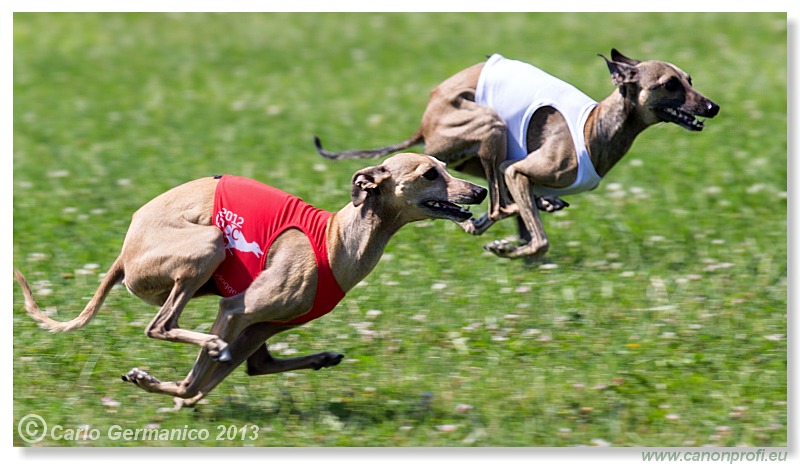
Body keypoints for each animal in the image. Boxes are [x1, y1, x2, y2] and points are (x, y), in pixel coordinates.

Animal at [15, 153, 484, 406]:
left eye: (445, 165)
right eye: (429, 173)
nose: (479, 192)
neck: (338, 240)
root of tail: (124, 252)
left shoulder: (263, 324)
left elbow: (226, 377)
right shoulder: (236, 308)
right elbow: (196, 381)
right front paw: (171, 379)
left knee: (243, 366)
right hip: (208, 244)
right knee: (162, 326)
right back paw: (203, 348)